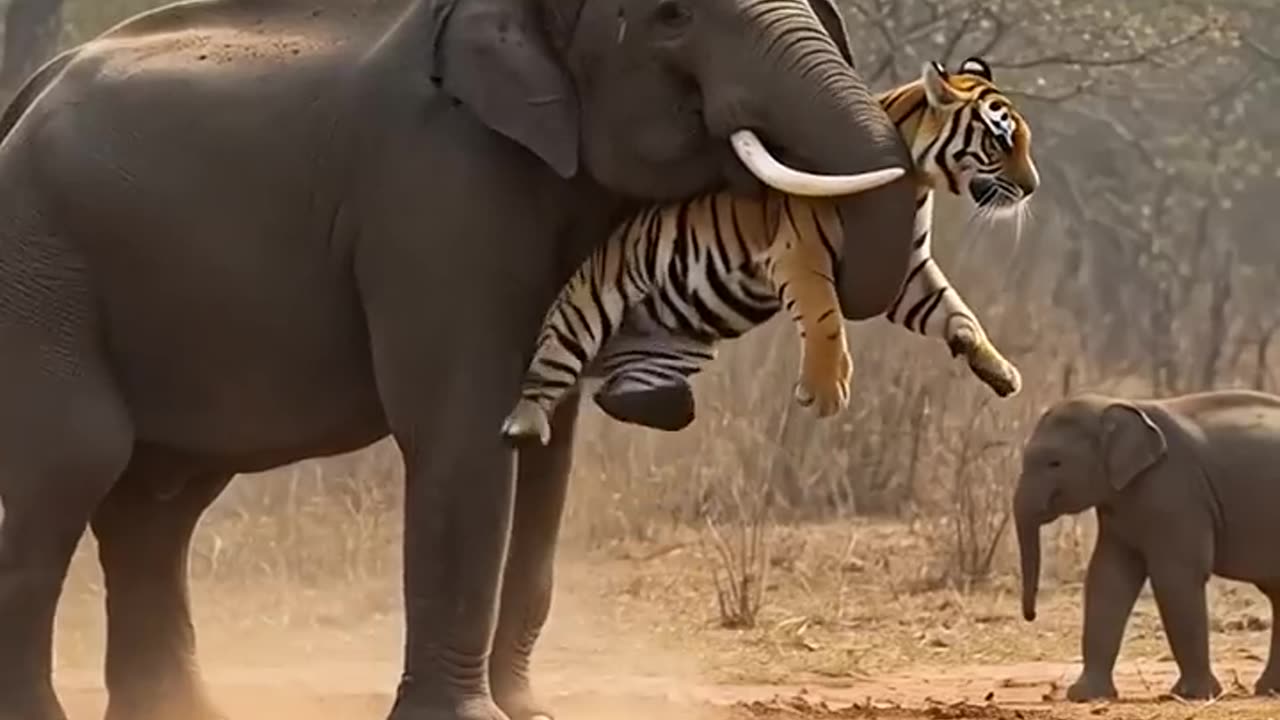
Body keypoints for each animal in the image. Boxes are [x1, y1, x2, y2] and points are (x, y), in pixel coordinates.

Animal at [502, 56, 1040, 445]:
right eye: (1000, 142)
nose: (1032, 187)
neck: (920, 183)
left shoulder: (910, 273)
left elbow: (957, 311)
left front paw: (1001, 372)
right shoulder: (799, 253)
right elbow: (825, 318)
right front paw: (824, 395)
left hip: (674, 345)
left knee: (623, 391)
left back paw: (669, 406)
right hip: (586, 308)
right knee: (549, 369)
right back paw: (524, 425)